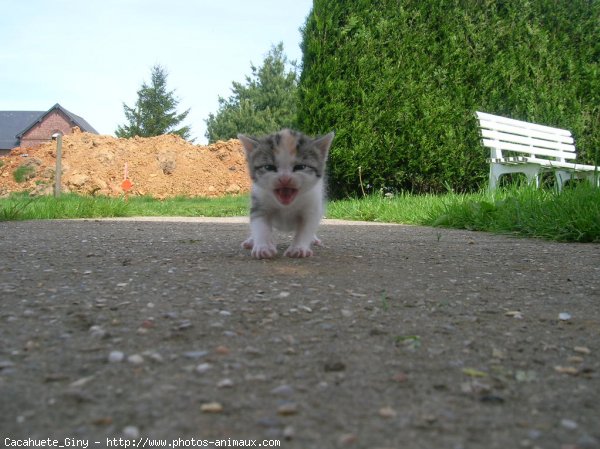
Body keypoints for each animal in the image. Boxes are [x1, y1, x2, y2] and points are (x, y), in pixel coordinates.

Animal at [238, 128, 332, 258]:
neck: (286, 206)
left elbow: (306, 228)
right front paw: (263, 247)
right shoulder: (259, 203)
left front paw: (298, 248)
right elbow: (260, 225)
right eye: (269, 167)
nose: (285, 178)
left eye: (301, 167)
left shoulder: (312, 207)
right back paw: (252, 240)